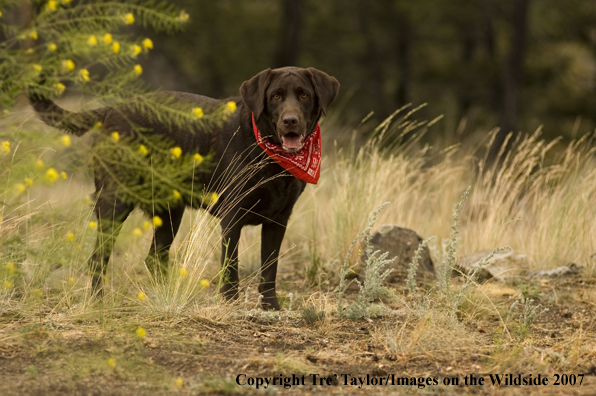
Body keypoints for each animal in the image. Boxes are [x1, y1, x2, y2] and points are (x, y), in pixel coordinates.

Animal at [29, 67, 340, 310]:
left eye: (304, 95)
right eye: (275, 96)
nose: (290, 121)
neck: (269, 154)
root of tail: (114, 109)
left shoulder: (278, 219)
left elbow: (269, 268)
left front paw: (271, 307)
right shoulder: (232, 215)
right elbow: (231, 265)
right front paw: (230, 303)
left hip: (170, 212)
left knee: (154, 257)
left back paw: (164, 293)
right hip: (114, 203)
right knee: (99, 258)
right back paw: (98, 302)